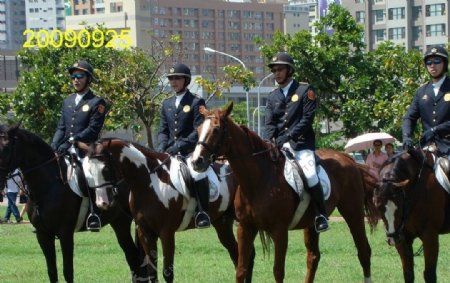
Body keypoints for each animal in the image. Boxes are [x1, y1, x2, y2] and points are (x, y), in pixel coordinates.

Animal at [0, 125, 149, 282]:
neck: (49, 185)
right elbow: (52, 271)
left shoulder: (65, 233)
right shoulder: (43, 234)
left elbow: (68, 271)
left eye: (6, 148)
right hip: (119, 223)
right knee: (132, 257)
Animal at [79, 138, 255, 283]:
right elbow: (152, 272)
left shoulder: (166, 232)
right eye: (88, 172)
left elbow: (167, 273)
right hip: (223, 224)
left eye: (105, 169)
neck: (148, 182)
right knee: (241, 255)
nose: (102, 203)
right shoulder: (145, 232)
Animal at [190, 103, 380, 283]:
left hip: (353, 213)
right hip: (312, 224)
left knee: (364, 251)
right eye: (198, 130)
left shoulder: (279, 231)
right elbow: (241, 270)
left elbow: (278, 272)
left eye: (216, 129)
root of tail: (348, 159)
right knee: (313, 257)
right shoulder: (245, 228)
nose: (196, 161)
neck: (258, 179)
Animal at [372, 149, 450, 283]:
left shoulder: (430, 236)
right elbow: (408, 273)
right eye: (378, 207)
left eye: (400, 204)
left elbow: (429, 274)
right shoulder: (403, 238)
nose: (392, 239)